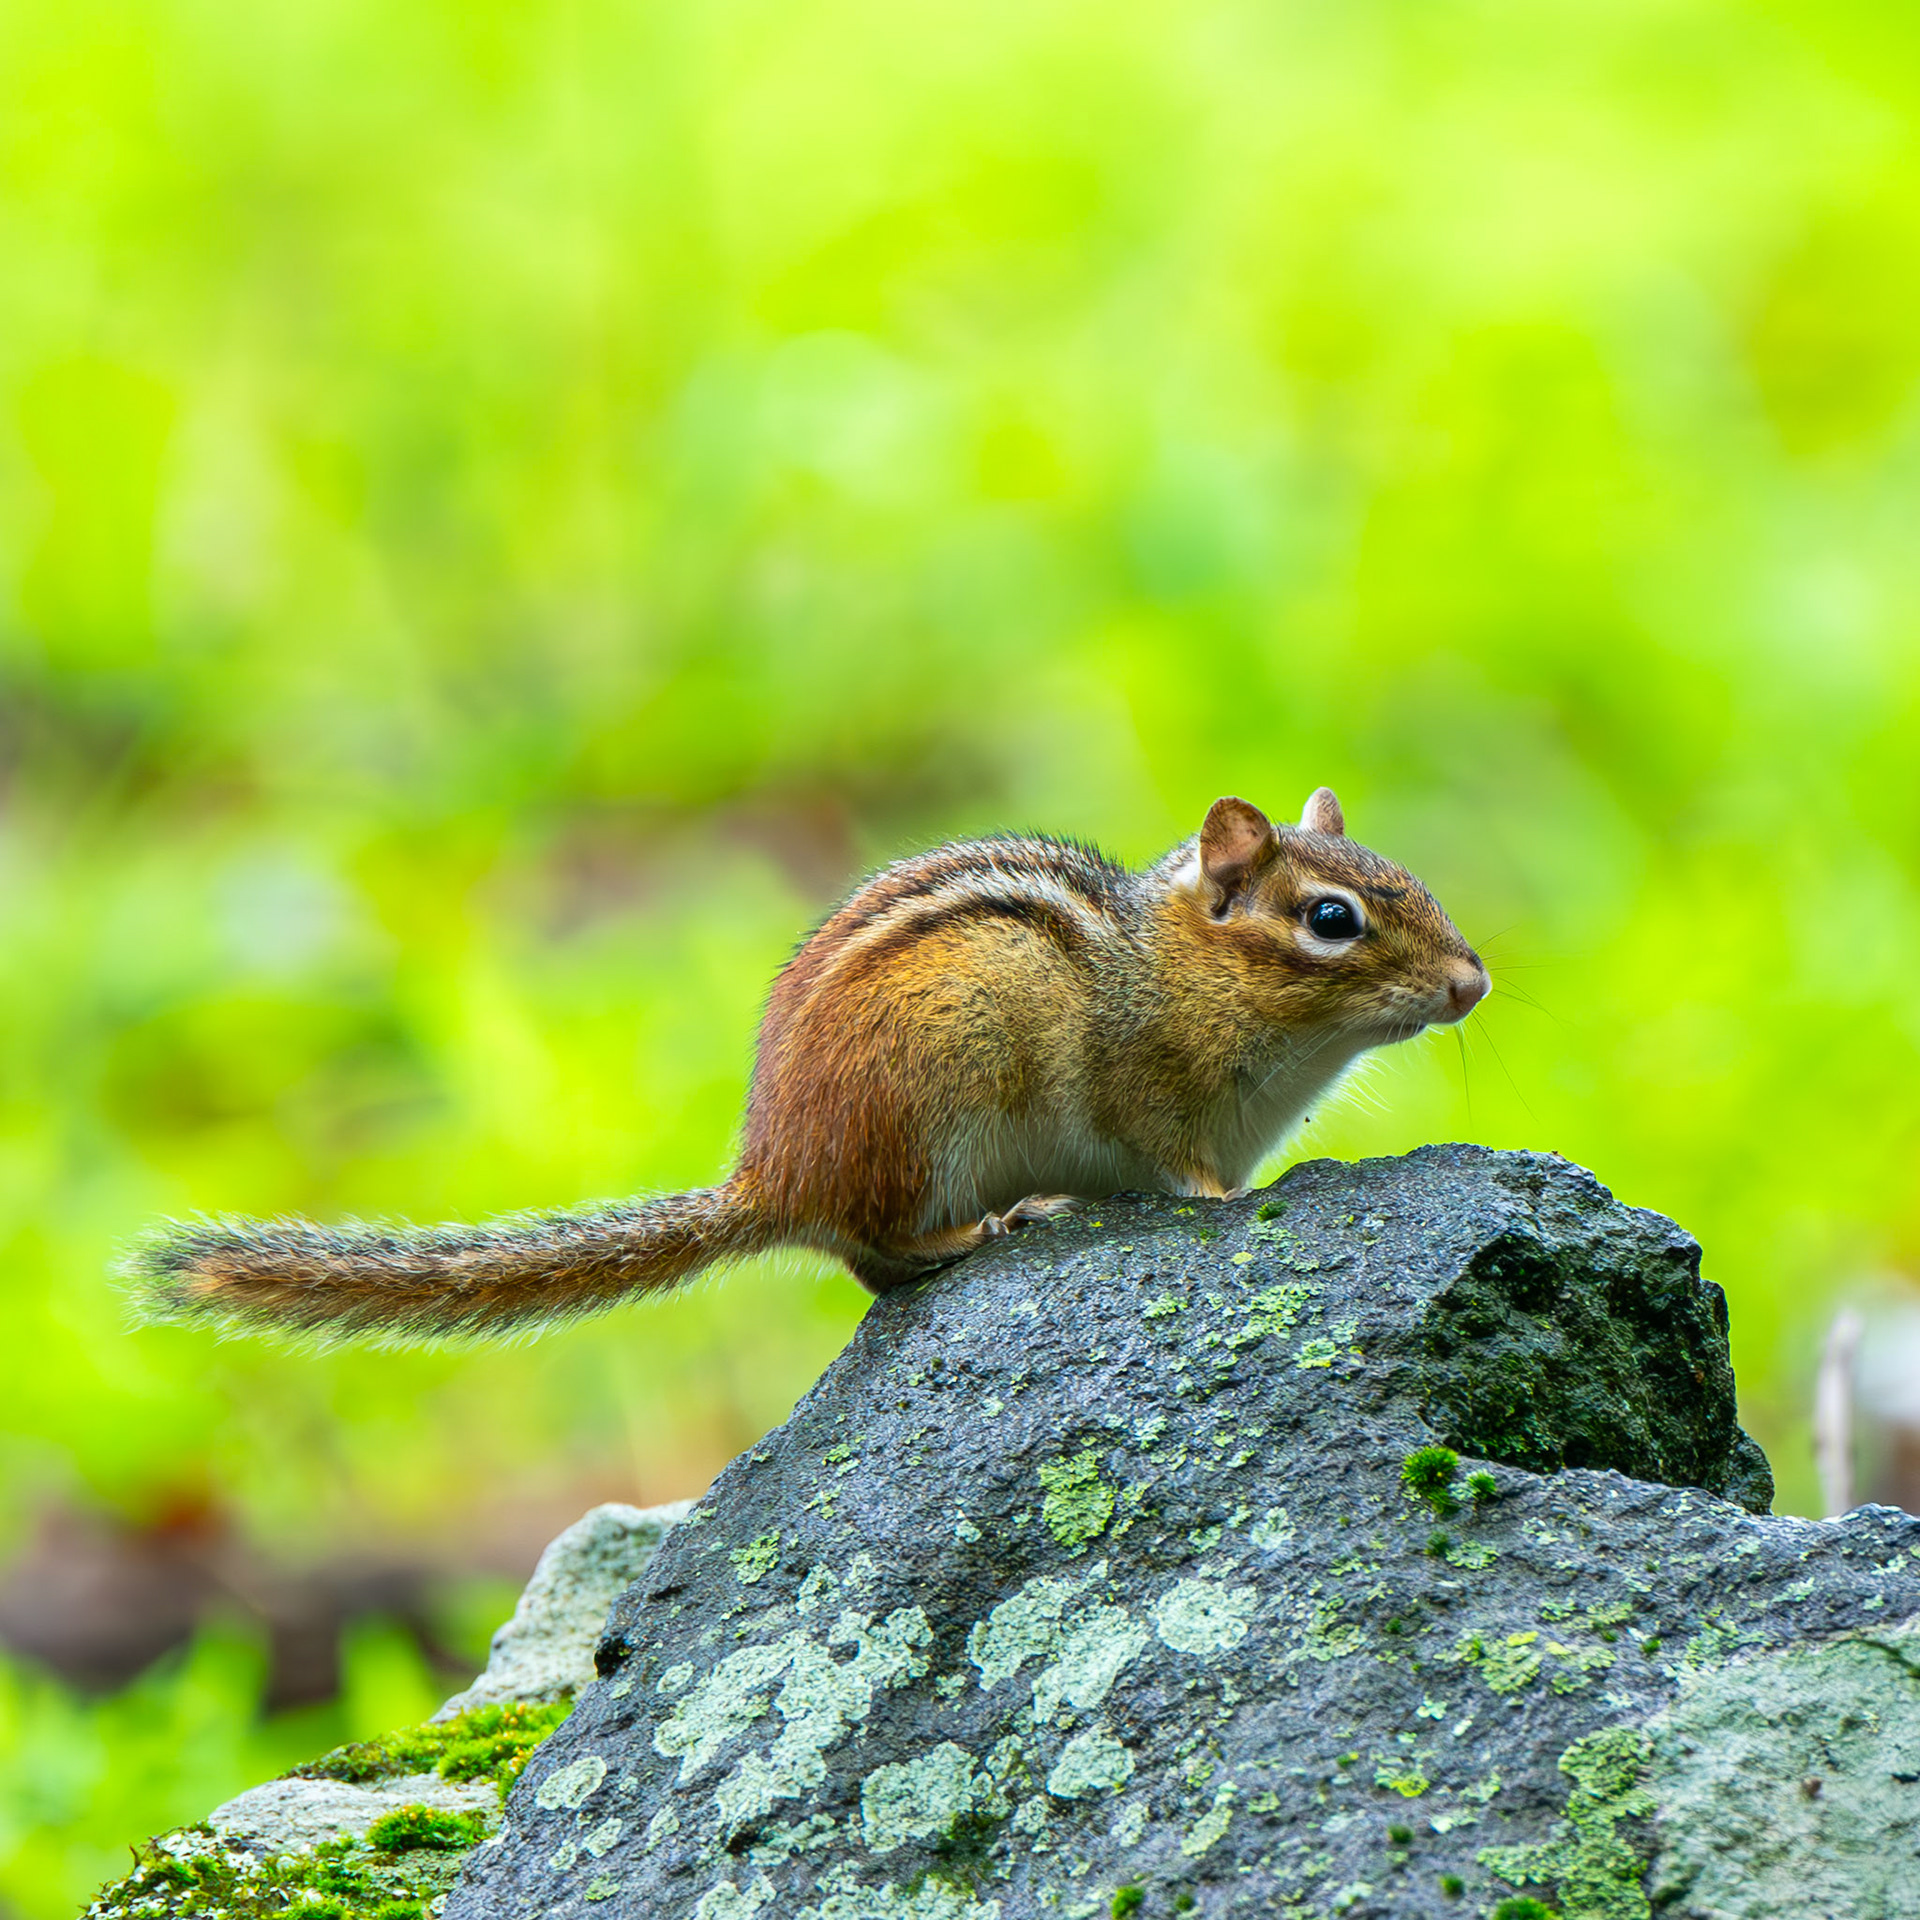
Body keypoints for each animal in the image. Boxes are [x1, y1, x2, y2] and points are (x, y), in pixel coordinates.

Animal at [127, 789, 1487, 1341]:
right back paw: (997, 1223)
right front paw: (1225, 1202)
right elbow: (1180, 1172)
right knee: (878, 1246)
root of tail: (771, 1171)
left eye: (1415, 882)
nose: (1474, 985)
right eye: (1331, 920)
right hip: (941, 1098)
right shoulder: (1145, 1090)